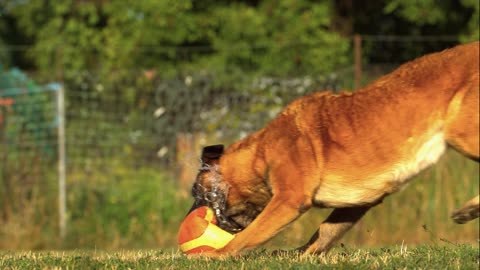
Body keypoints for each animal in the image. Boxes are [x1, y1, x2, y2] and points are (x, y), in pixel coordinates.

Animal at [189, 41, 478, 256]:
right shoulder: (358, 203)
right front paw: (298, 256)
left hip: (460, 132)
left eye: (197, 193)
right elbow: (324, 233)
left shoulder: (289, 200)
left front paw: (213, 256)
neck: (259, 153)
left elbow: (246, 237)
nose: (192, 216)